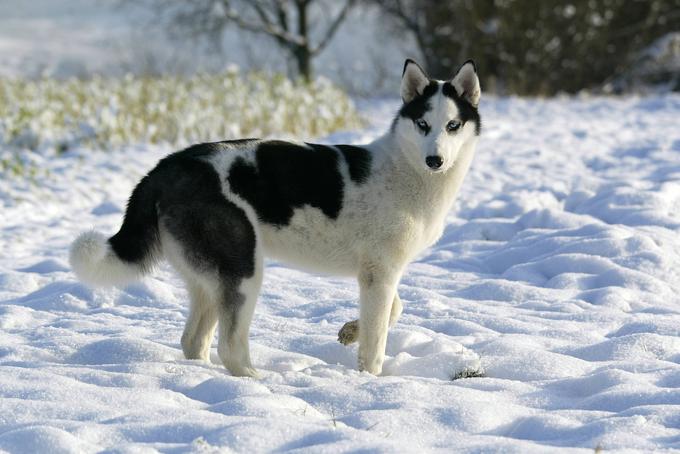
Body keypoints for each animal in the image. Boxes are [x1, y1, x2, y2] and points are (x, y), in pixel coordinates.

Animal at [69, 61, 480, 380]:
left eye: (453, 125)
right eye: (423, 124)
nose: (435, 160)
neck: (405, 169)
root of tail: (166, 166)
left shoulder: (379, 273)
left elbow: (396, 309)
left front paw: (350, 331)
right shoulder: (379, 275)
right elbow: (377, 340)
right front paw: (369, 377)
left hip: (209, 282)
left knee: (194, 341)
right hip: (244, 270)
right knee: (230, 347)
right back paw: (259, 382)